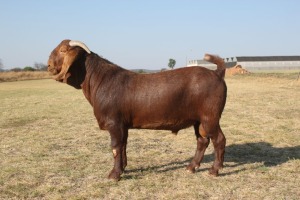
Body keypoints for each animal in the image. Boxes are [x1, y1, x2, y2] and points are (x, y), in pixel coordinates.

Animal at [47, 39, 226, 180]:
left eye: (63, 50)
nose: (48, 65)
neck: (100, 80)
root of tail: (217, 73)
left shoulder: (114, 123)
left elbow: (115, 146)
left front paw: (114, 175)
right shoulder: (123, 125)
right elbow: (123, 145)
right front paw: (123, 168)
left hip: (210, 116)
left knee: (219, 139)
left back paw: (214, 170)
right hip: (198, 120)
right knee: (202, 140)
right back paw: (191, 167)